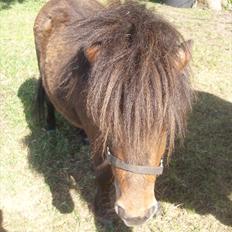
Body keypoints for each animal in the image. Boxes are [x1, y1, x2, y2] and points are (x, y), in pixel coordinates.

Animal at [34, 0, 194, 227]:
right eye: (109, 123)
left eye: (165, 124)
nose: (136, 215)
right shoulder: (99, 139)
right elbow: (103, 172)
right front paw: (102, 211)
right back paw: (50, 127)